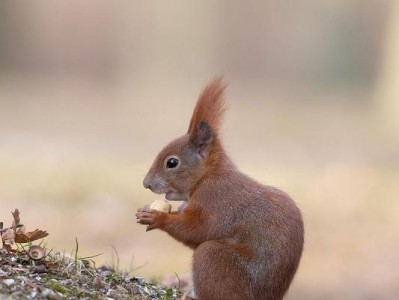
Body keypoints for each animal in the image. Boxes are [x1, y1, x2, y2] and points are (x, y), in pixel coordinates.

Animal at [136, 78, 304, 298]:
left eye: (172, 163)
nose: (146, 184)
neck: (208, 177)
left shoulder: (216, 202)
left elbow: (199, 229)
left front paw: (157, 217)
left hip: (213, 259)